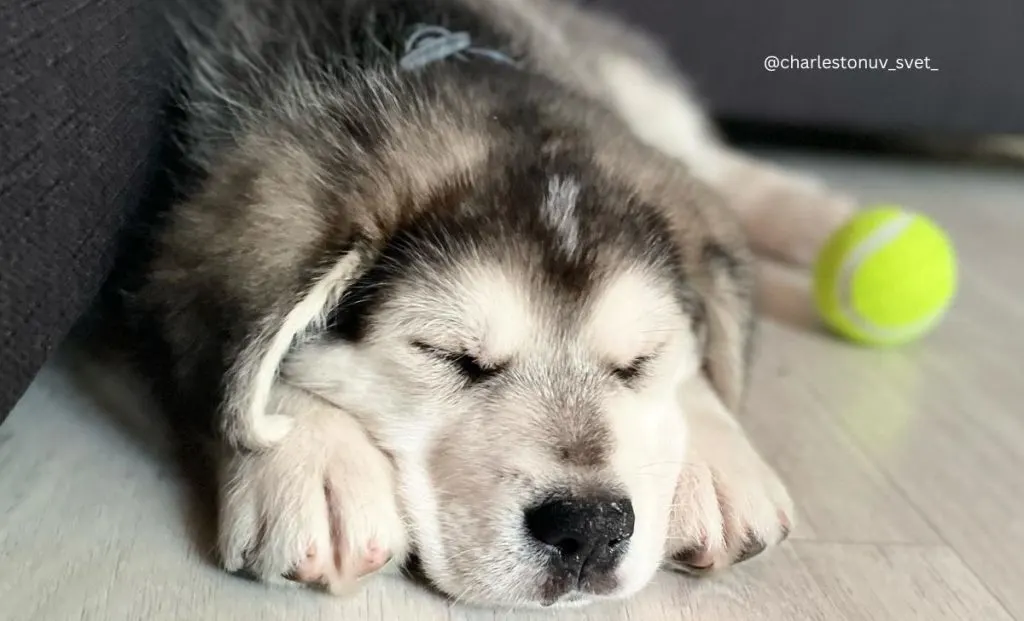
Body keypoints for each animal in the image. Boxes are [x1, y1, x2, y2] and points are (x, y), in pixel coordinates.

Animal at [136, 0, 856, 610]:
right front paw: (312, 460)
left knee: (728, 172)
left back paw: (829, 229)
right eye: (450, 355)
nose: (588, 527)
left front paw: (715, 457)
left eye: (637, 362)